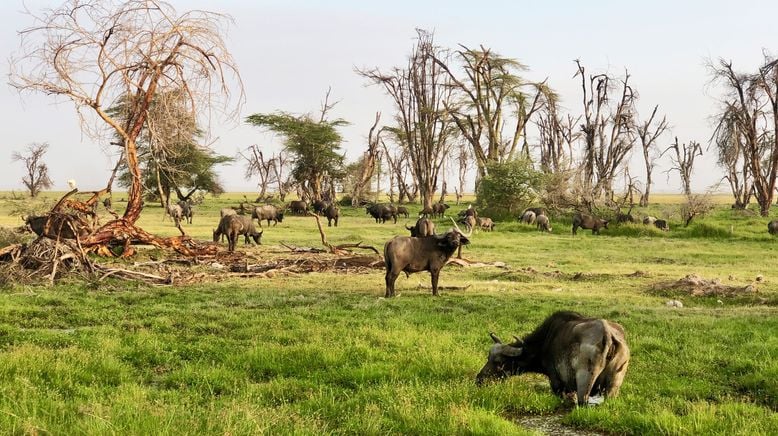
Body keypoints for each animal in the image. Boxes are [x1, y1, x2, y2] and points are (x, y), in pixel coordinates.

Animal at [472, 310, 632, 406]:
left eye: (499, 362)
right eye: (488, 358)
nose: (479, 379)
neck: (547, 340)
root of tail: (607, 334)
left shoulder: (556, 382)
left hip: (585, 380)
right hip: (614, 384)